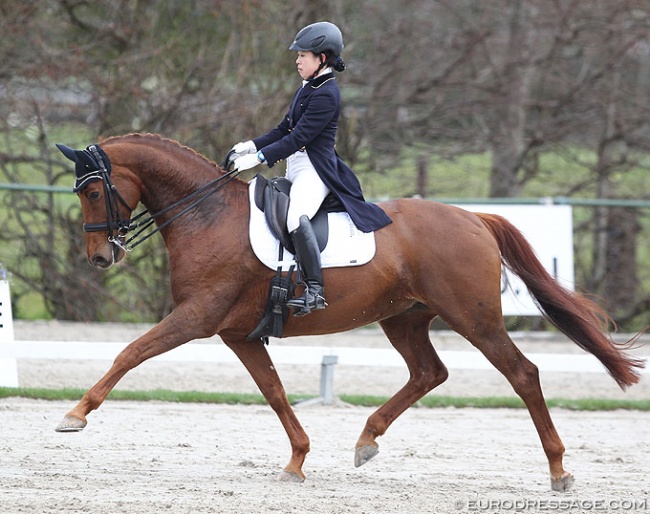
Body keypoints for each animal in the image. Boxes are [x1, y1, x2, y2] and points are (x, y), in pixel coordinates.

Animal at [55, 131, 644, 488]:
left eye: (92, 193)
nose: (101, 257)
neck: (207, 215)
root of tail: (474, 218)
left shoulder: (197, 318)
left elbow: (131, 352)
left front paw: (75, 415)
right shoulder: (239, 334)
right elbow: (274, 392)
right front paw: (297, 460)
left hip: (474, 319)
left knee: (522, 374)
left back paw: (559, 471)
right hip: (404, 318)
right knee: (429, 373)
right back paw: (366, 441)